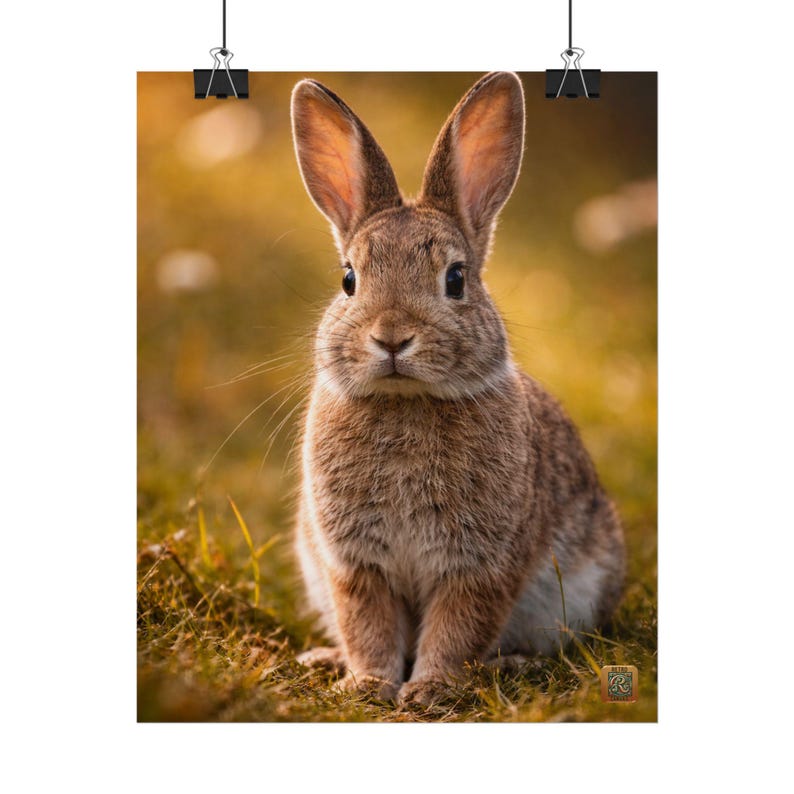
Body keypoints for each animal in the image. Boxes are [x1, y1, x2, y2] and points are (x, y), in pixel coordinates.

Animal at [289, 72, 626, 706]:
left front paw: (429, 690)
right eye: (348, 279)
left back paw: (509, 666)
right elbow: (367, 626)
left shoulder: (480, 566)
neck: (405, 404)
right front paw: (368, 685)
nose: (392, 337)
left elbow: (458, 626)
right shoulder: (355, 565)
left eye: (456, 278)